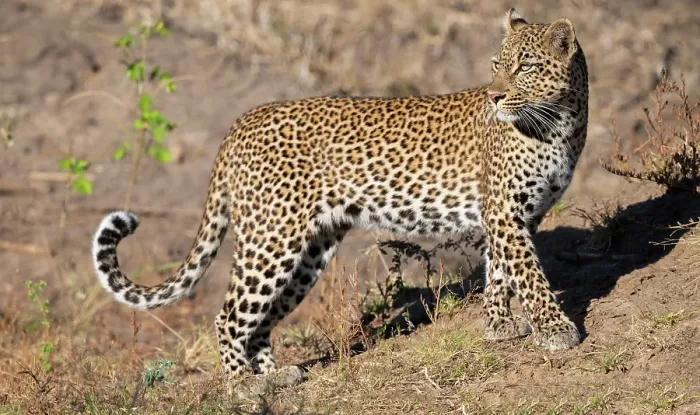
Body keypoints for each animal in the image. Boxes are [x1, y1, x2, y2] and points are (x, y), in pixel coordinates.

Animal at [92, 8, 588, 385]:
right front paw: (556, 329)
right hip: (271, 239)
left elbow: (501, 271)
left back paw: (275, 377)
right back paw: (243, 387)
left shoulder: (516, 215)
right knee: (229, 316)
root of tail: (242, 121)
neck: (561, 124)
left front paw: (499, 324)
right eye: (496, 66)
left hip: (309, 249)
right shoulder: (504, 211)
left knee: (261, 320)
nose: (495, 96)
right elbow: (529, 275)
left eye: (526, 66)